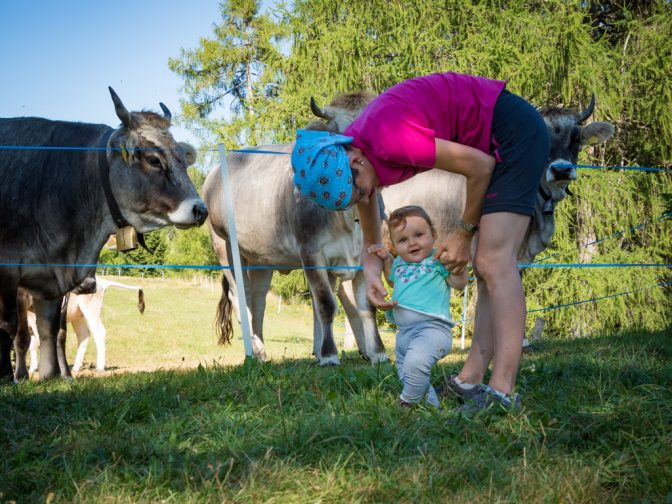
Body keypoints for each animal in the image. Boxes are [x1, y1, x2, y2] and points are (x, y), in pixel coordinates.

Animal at [0, 89, 207, 382]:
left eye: (182, 159)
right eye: (153, 159)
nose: (201, 210)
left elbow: (48, 331)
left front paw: (50, 376)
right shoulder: (11, 272)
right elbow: (13, 330)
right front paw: (16, 375)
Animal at [202, 144, 386, 364]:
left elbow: (366, 307)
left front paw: (378, 353)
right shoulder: (311, 252)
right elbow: (326, 304)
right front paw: (329, 355)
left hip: (260, 259)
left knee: (258, 300)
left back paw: (262, 352)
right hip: (224, 246)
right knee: (241, 297)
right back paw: (253, 353)